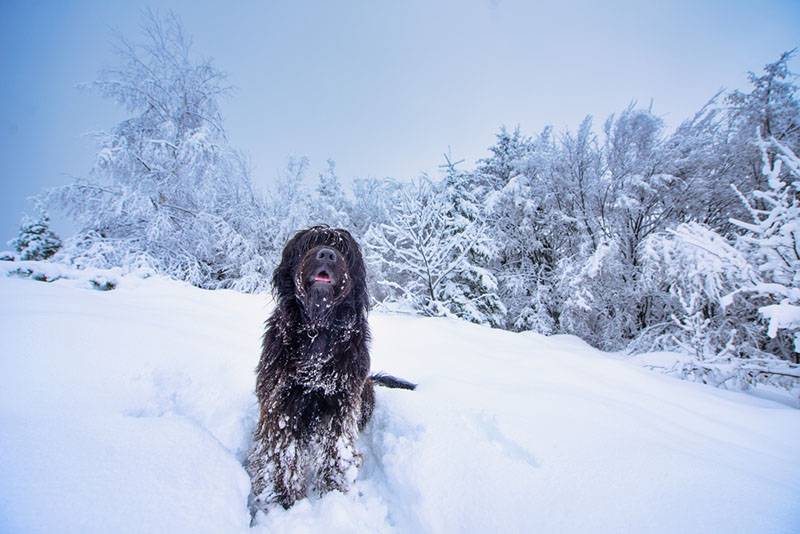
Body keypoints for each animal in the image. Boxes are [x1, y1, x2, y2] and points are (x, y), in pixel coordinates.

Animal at [248, 226, 412, 516]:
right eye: (310, 244)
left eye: (342, 248)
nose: (326, 254)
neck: (318, 329)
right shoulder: (282, 401)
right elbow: (281, 452)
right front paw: (282, 498)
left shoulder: (341, 402)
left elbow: (336, 450)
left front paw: (334, 491)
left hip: (364, 393)